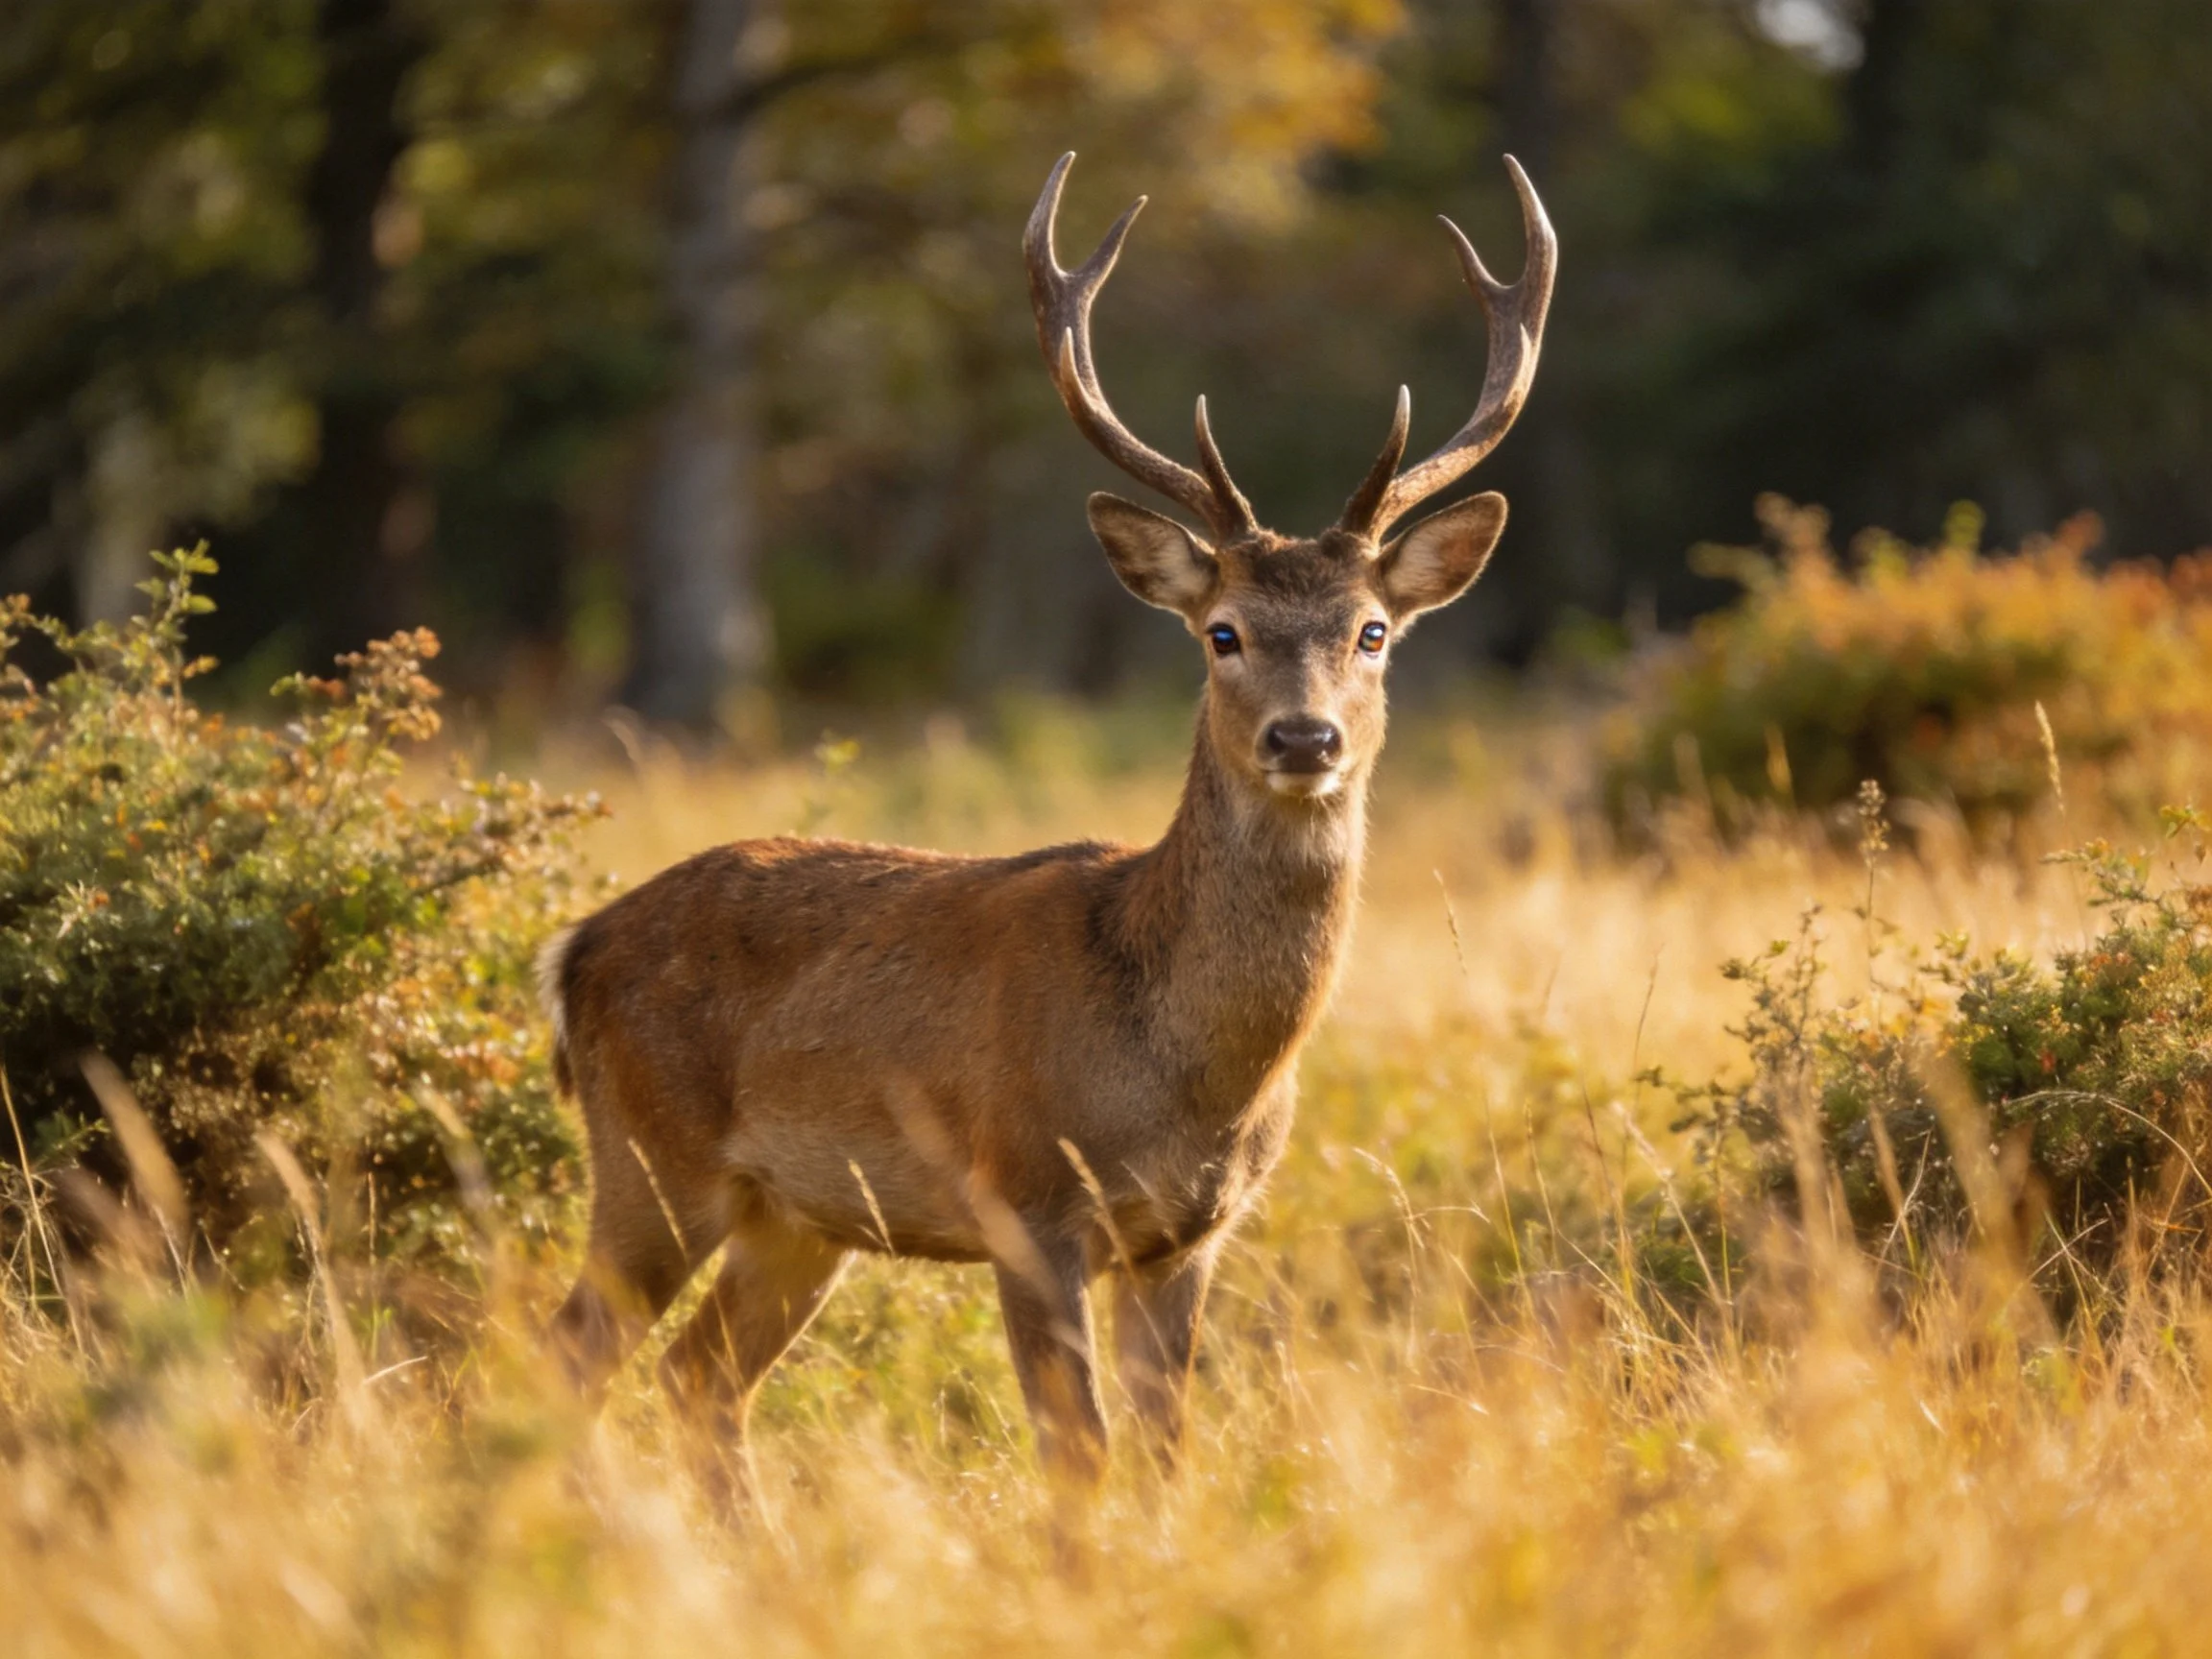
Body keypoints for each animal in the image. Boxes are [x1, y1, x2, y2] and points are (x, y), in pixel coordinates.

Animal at [542, 151, 1555, 1499]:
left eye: (1373, 632)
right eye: (1221, 631)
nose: (1304, 740)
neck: (1181, 1071)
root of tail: (574, 951)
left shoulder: (1191, 1235)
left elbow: (1166, 1453)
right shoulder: (1024, 1200)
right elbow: (1076, 1458)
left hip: (796, 1216)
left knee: (696, 1378)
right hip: (656, 1159)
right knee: (562, 1357)